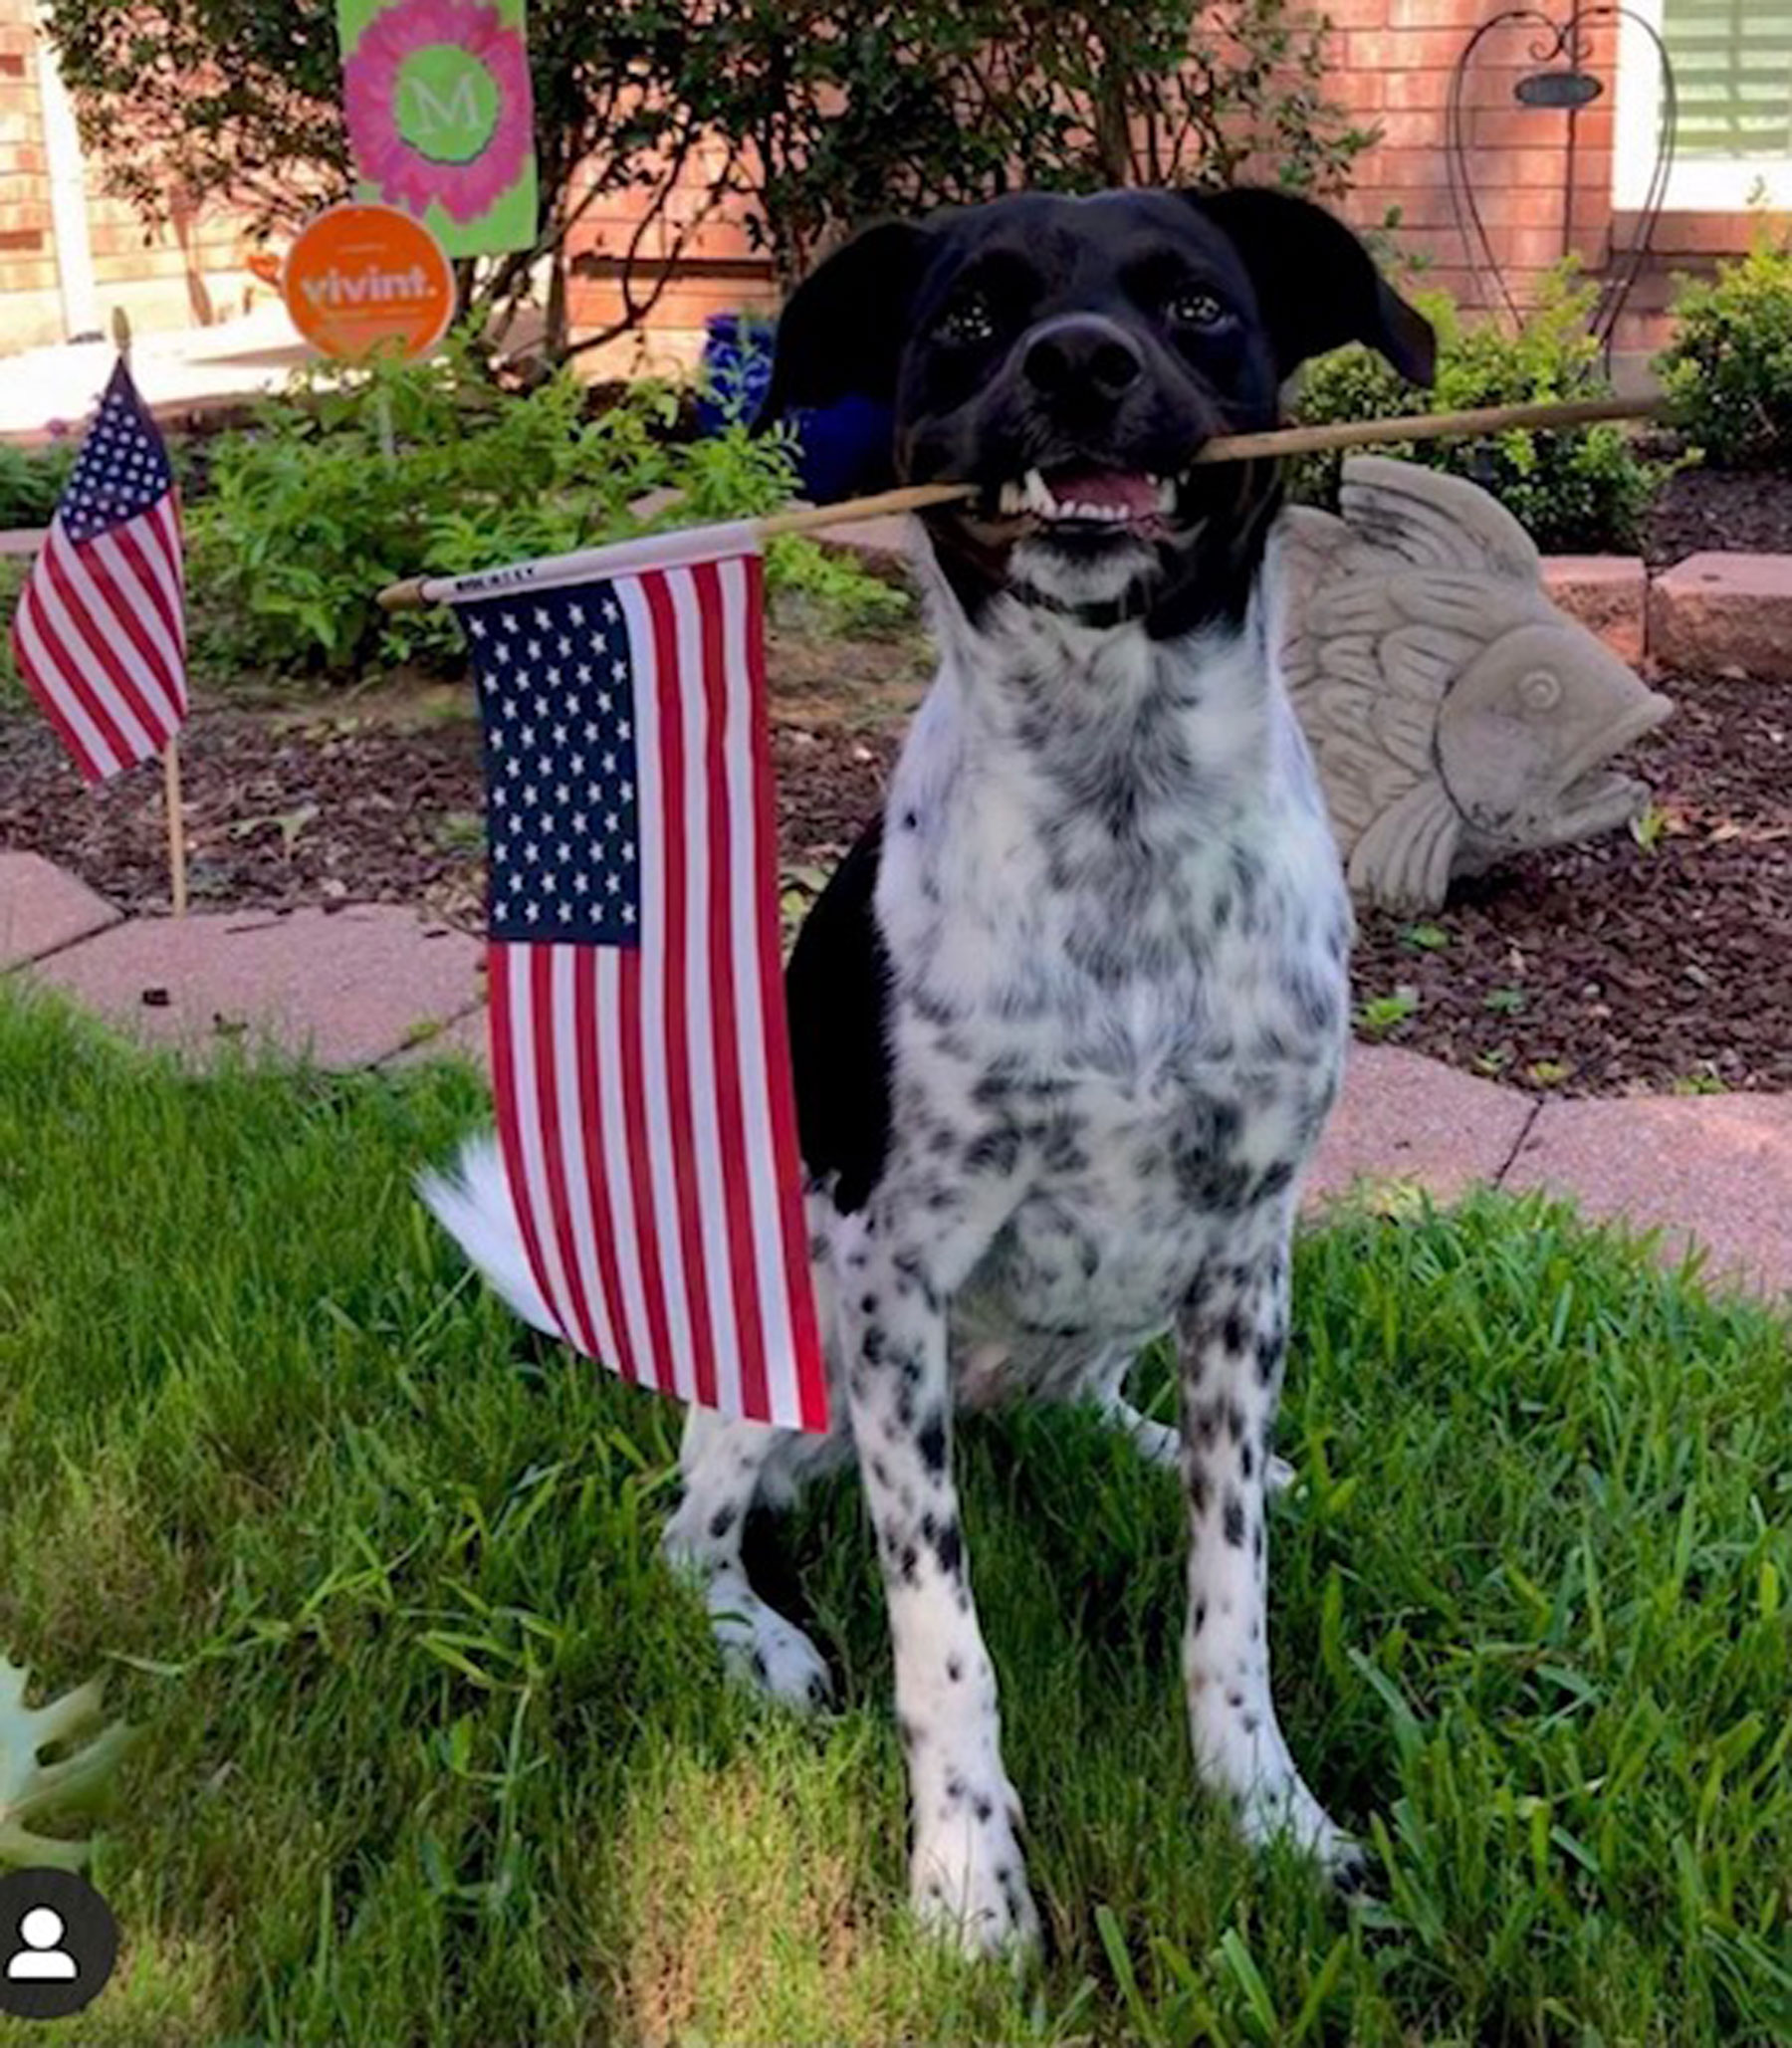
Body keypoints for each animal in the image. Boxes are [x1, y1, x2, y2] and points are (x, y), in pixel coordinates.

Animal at [427, 188, 1434, 1949]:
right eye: (969, 320)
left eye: (1194, 302)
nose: (1082, 364)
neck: (1121, 817)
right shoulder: (893, 1281)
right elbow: (941, 1639)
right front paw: (968, 1884)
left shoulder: (1249, 1256)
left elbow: (1226, 1598)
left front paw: (1268, 1814)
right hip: (780, 1345)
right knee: (689, 1527)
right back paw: (757, 1637)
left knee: (1108, 1408)